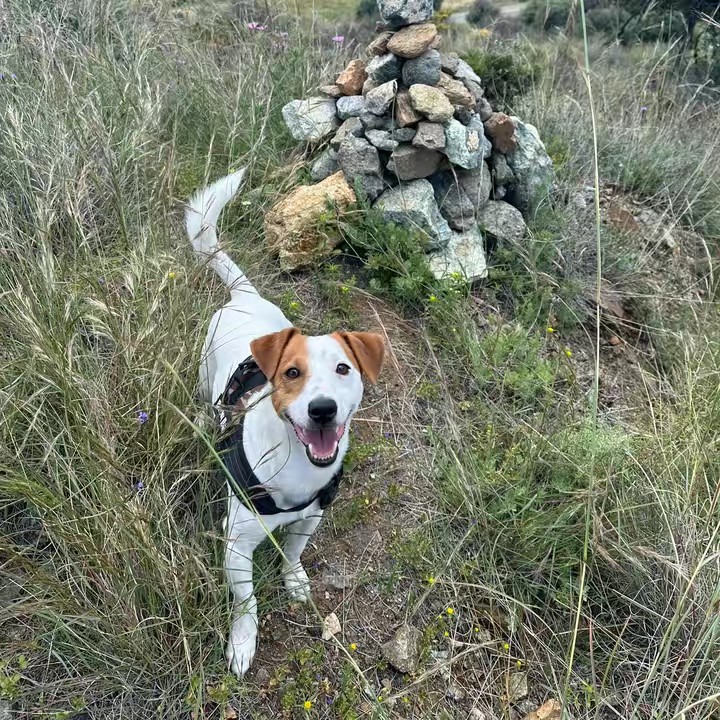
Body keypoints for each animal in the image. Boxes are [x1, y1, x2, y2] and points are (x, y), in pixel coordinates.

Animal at [186, 169, 385, 676]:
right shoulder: (236, 547)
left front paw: (294, 580)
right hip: (203, 373)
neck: (297, 467)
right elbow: (247, 603)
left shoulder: (310, 517)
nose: (323, 409)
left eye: (343, 369)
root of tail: (244, 296)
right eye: (292, 373)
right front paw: (242, 643)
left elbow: (294, 552)